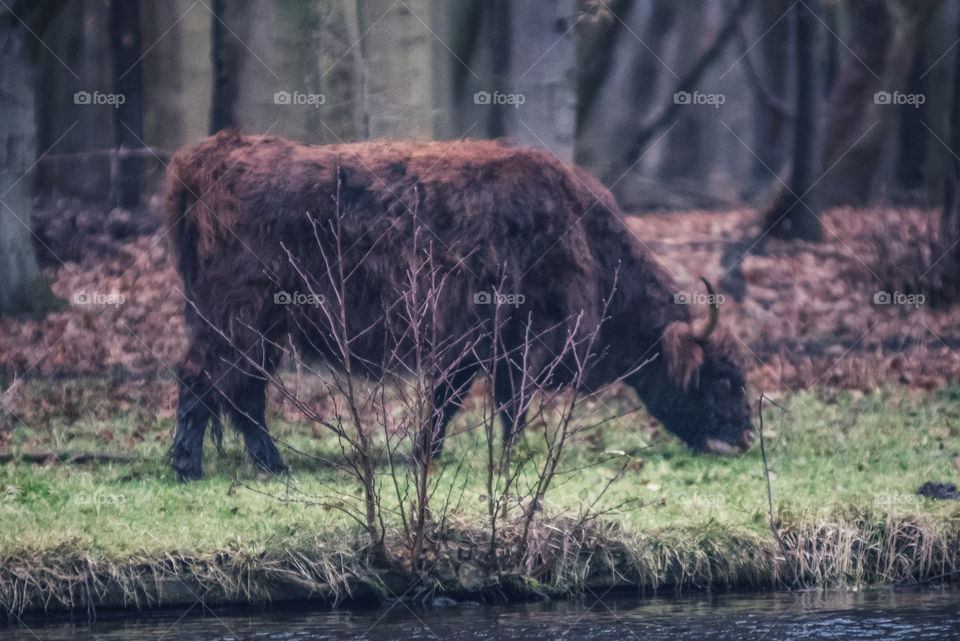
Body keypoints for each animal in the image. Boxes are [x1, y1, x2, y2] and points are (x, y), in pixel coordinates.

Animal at [166, 131, 753, 480]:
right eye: (724, 377)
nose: (745, 437)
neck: (585, 238)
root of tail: (210, 156)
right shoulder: (522, 340)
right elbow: (509, 405)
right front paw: (510, 460)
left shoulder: (471, 345)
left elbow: (446, 402)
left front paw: (425, 455)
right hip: (237, 317)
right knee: (204, 378)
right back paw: (188, 465)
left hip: (266, 326)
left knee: (244, 392)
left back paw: (273, 465)